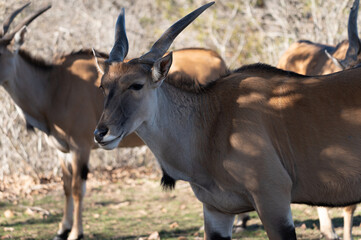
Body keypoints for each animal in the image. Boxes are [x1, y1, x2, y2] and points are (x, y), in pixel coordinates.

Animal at [0, 2, 228, 239]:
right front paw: (62, 229)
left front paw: (75, 232)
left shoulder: (80, 147)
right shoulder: (62, 150)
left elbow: (77, 188)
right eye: (102, 86)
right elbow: (65, 186)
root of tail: (217, 58)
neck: (53, 86)